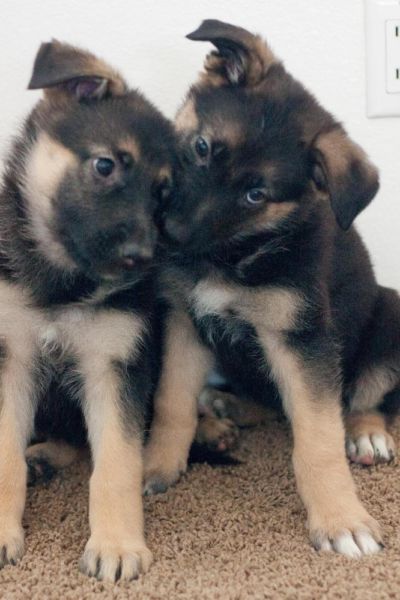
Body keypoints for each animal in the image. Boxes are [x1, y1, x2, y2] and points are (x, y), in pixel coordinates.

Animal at [0, 42, 175, 580]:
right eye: (105, 166)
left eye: (163, 195)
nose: (142, 258)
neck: (63, 286)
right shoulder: (13, 358)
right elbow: (5, 455)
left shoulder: (114, 367)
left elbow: (116, 465)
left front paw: (117, 545)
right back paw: (42, 457)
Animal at [145, 22, 400, 556]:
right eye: (202, 148)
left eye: (255, 194)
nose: (170, 235)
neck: (235, 257)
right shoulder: (186, 319)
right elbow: (172, 401)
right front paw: (156, 465)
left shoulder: (302, 341)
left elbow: (318, 439)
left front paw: (341, 519)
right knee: (269, 403)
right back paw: (228, 405)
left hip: (390, 313)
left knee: (369, 397)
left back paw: (367, 435)